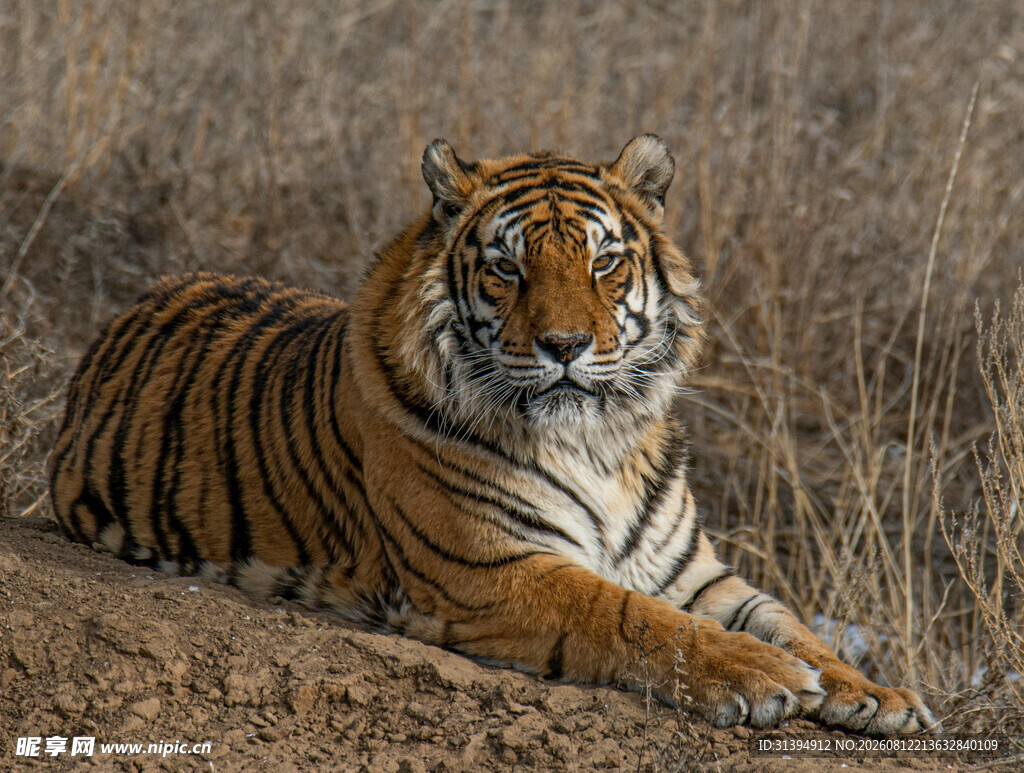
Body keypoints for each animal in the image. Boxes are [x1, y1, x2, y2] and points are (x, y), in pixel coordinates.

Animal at [50, 135, 938, 733]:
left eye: (604, 262)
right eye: (508, 268)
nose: (565, 345)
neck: (598, 442)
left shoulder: (694, 573)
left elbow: (789, 619)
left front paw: (877, 692)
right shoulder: (492, 569)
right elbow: (636, 617)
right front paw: (763, 675)